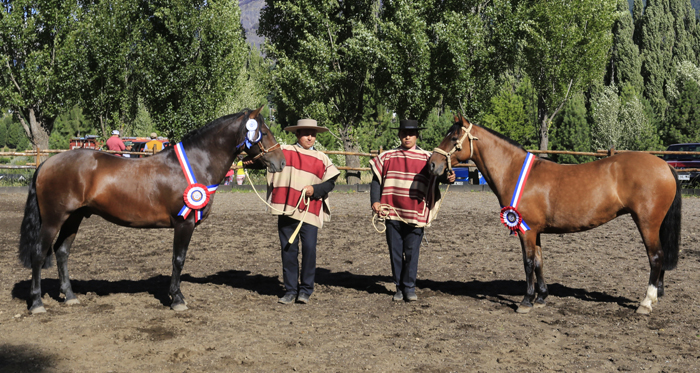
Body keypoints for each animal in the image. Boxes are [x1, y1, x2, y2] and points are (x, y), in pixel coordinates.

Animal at [19, 106, 288, 312]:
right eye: (264, 132)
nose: (281, 162)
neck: (195, 163)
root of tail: (47, 163)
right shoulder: (184, 223)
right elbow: (178, 259)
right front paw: (177, 299)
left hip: (73, 218)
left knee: (62, 252)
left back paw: (70, 296)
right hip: (53, 220)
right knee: (39, 253)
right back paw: (37, 303)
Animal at [430, 116, 680, 314]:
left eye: (453, 139)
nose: (432, 164)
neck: (515, 171)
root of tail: (664, 165)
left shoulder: (526, 230)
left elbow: (528, 262)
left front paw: (526, 301)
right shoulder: (535, 231)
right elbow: (540, 261)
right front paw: (541, 297)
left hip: (647, 223)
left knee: (656, 257)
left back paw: (646, 303)